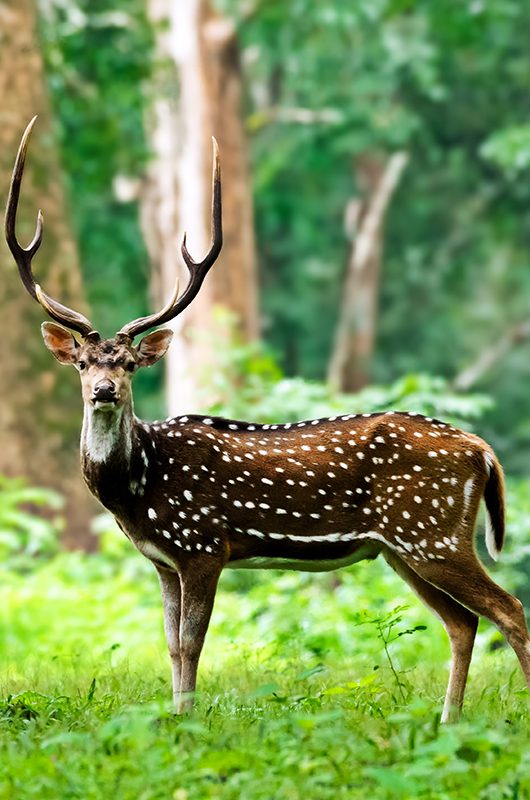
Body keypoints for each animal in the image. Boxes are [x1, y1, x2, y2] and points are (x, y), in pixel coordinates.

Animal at [7, 120, 528, 724]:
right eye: (85, 363)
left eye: (130, 363)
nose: (105, 391)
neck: (137, 486)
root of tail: (482, 450)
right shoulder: (163, 560)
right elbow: (169, 642)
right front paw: (173, 718)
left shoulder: (203, 545)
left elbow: (192, 642)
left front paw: (187, 721)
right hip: (404, 547)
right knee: (463, 622)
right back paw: (448, 721)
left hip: (433, 531)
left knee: (508, 608)